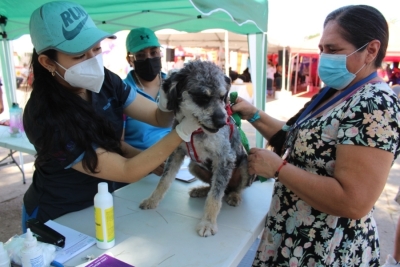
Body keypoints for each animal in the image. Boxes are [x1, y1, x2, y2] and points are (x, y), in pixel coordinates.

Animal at [139, 60, 255, 237]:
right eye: (202, 97)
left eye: (223, 97)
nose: (222, 122)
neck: (197, 132)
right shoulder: (176, 153)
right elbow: (164, 181)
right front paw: (152, 200)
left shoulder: (225, 158)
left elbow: (215, 197)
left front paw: (208, 222)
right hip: (193, 166)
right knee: (212, 186)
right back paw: (202, 190)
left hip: (244, 164)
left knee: (234, 188)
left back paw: (234, 195)